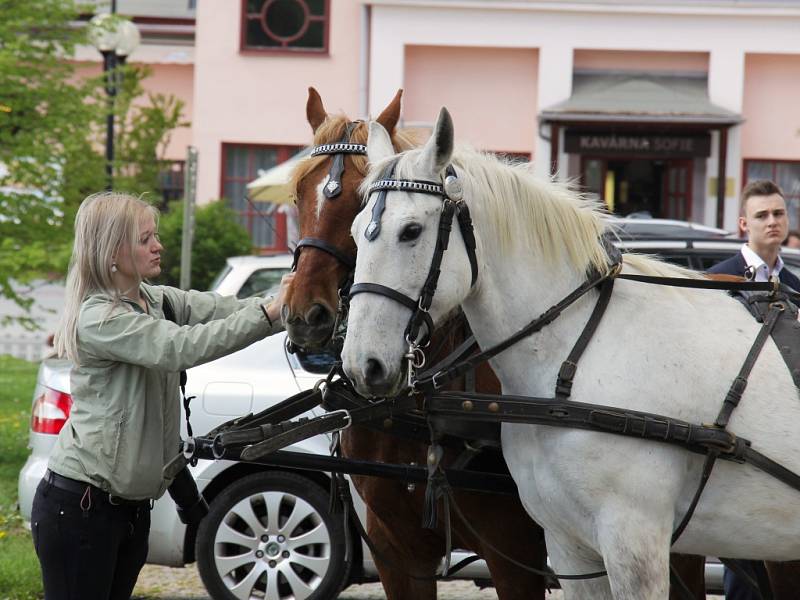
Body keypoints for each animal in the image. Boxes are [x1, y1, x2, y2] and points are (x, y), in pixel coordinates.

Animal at [342, 108, 800, 600]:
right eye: (355, 233)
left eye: (411, 231)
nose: (362, 365)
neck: (573, 356)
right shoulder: (569, 546)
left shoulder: (634, 544)